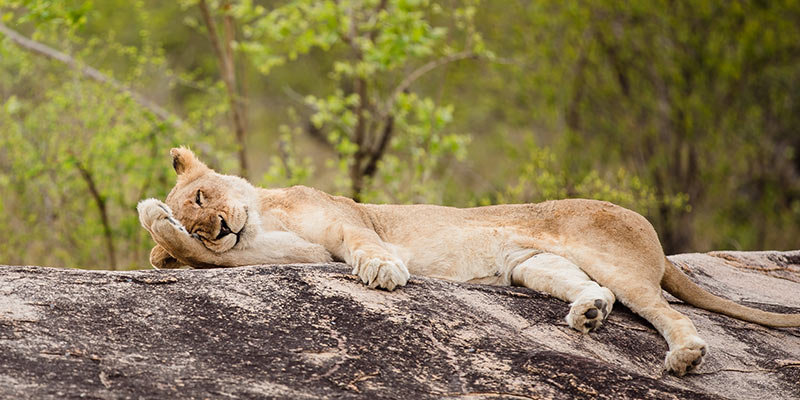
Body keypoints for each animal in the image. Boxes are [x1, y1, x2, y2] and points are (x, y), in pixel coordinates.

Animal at [138, 147, 800, 376]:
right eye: (197, 219)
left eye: (201, 198)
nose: (218, 228)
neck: (264, 212)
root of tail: (651, 232)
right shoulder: (303, 251)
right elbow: (223, 258)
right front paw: (163, 231)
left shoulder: (344, 225)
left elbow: (367, 247)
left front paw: (383, 273)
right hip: (534, 265)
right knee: (596, 292)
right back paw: (586, 316)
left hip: (616, 261)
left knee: (665, 311)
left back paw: (684, 355)